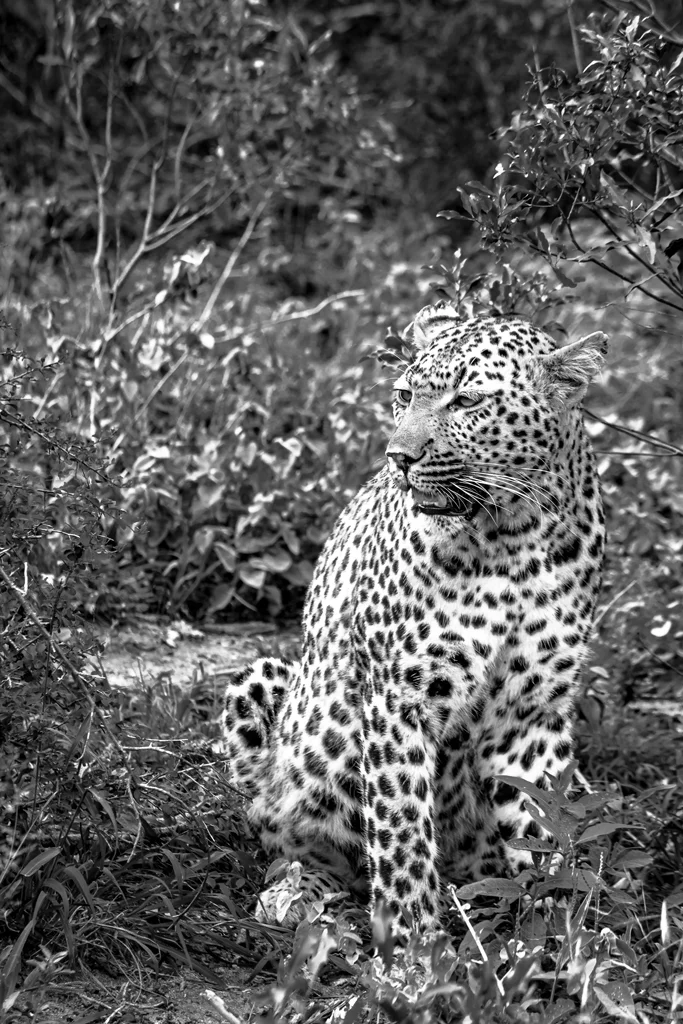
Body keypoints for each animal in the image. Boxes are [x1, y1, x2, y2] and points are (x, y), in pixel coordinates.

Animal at [222, 302, 607, 934]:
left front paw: (557, 931)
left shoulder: (532, 714)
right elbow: (400, 827)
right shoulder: (399, 698)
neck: (513, 534)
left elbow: (545, 824)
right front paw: (412, 943)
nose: (398, 459)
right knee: (290, 836)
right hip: (264, 684)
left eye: (468, 401)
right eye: (404, 394)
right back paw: (297, 893)